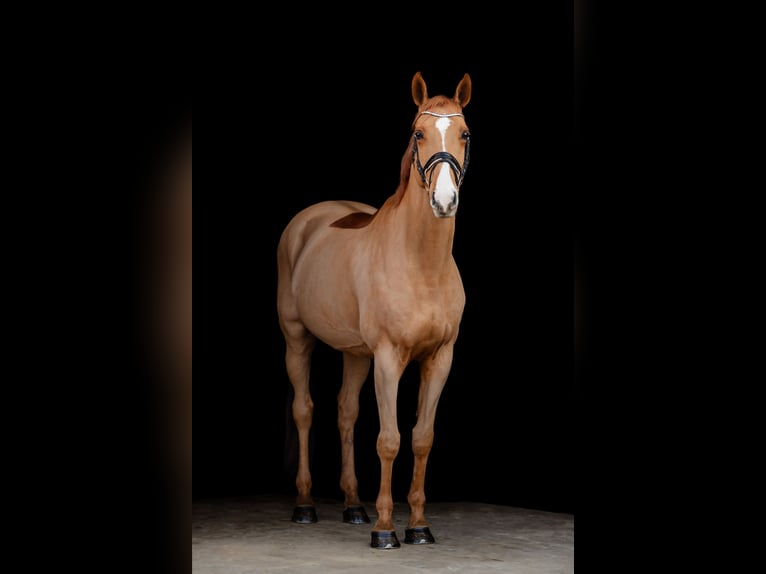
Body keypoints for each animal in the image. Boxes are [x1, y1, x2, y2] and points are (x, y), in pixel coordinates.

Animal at [272, 71, 472, 548]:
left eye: (465, 134)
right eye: (418, 133)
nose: (444, 200)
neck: (422, 264)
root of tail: (310, 219)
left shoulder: (439, 359)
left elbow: (421, 438)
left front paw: (418, 525)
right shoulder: (387, 357)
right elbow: (389, 439)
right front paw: (386, 530)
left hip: (355, 353)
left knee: (346, 412)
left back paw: (353, 506)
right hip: (297, 339)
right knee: (305, 410)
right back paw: (305, 505)